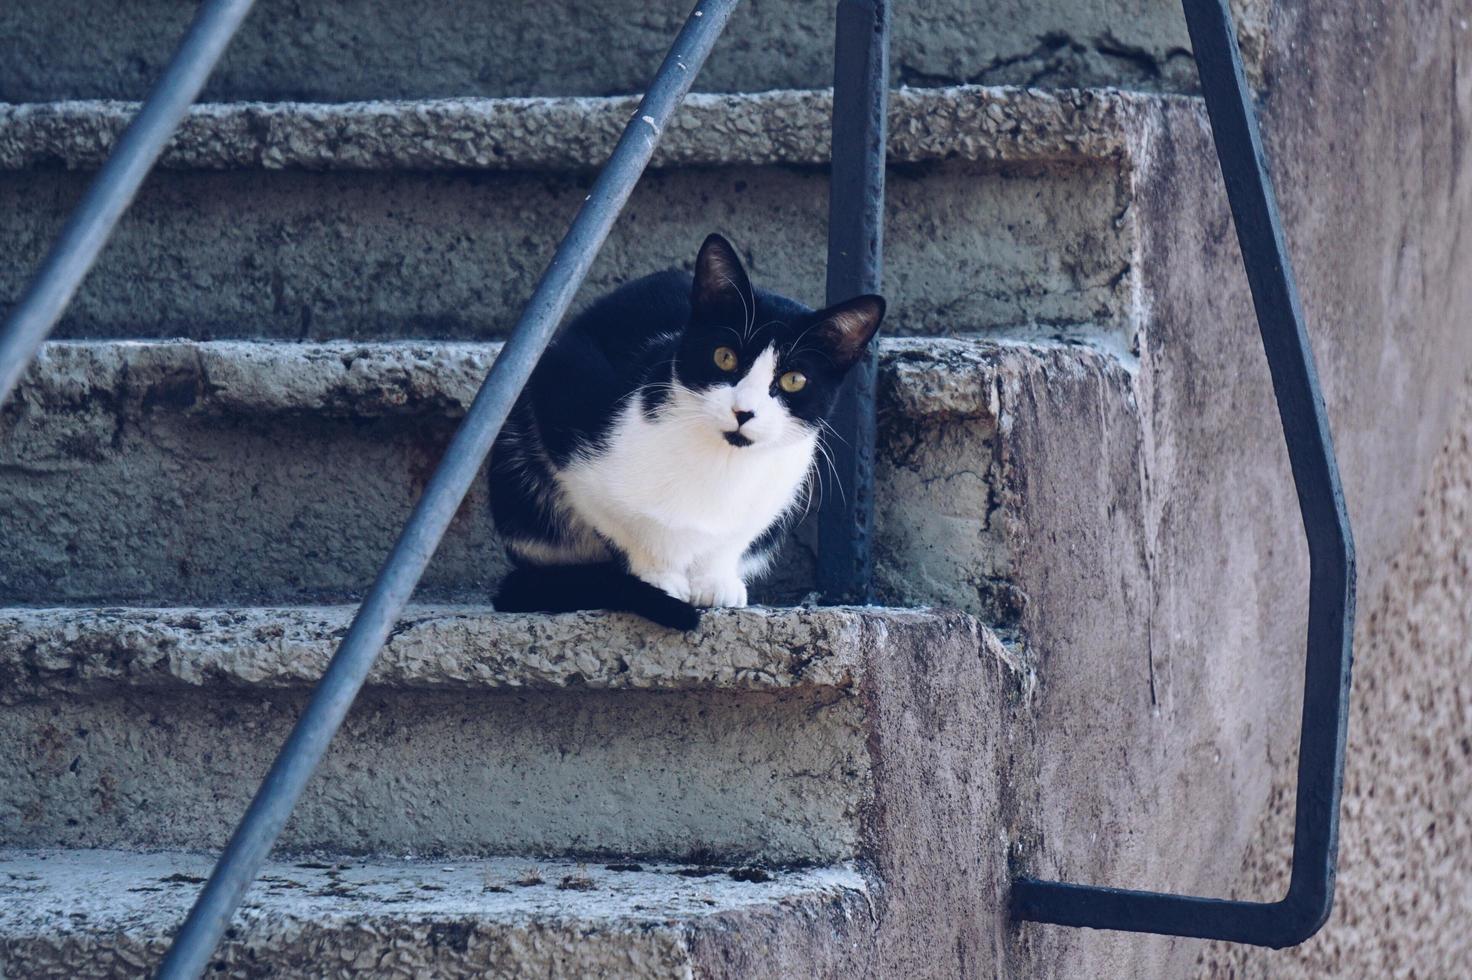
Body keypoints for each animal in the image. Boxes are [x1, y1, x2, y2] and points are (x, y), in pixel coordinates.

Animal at [491, 232, 883, 626]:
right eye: (724, 356)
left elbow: (734, 537)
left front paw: (716, 580)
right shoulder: (566, 397)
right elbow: (621, 522)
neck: (722, 462)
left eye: (794, 379)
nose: (743, 411)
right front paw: (659, 577)